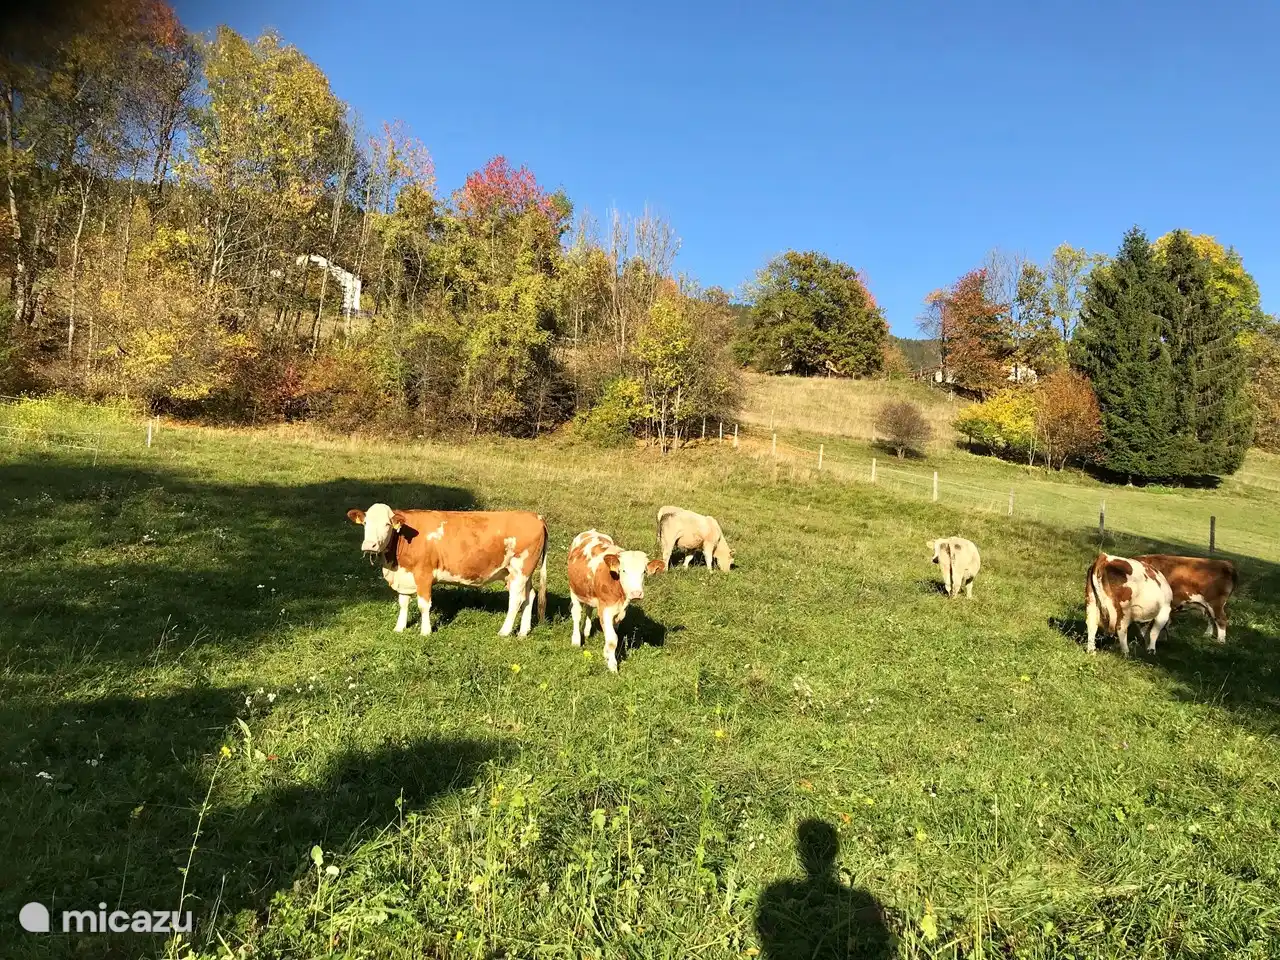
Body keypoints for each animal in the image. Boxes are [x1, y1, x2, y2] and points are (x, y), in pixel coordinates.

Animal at [346, 503, 547, 638]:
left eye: (387, 524)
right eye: (365, 523)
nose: (369, 545)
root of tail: (535, 516)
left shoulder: (423, 574)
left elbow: (423, 605)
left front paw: (425, 632)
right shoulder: (404, 575)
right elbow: (403, 603)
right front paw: (399, 628)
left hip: (520, 569)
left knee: (516, 600)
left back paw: (504, 632)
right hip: (521, 573)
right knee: (530, 596)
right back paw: (523, 631)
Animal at [566, 530, 665, 673]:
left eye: (644, 572)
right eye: (623, 570)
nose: (636, 593)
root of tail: (590, 531)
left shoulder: (620, 612)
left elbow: (612, 634)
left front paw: (607, 654)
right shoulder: (605, 610)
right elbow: (613, 639)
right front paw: (612, 665)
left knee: (589, 609)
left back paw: (587, 631)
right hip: (574, 590)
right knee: (576, 614)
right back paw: (576, 640)